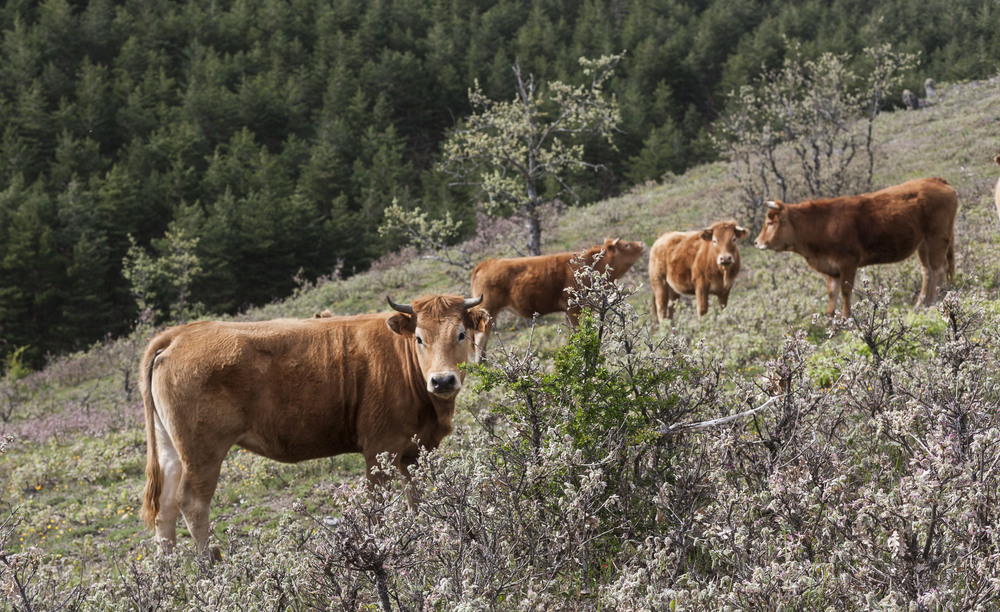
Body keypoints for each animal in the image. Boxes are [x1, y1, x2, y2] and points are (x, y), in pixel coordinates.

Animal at [139, 292, 490, 556]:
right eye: (419, 338)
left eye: (460, 334)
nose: (442, 380)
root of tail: (179, 334)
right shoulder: (381, 448)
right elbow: (378, 505)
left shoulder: (416, 449)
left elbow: (416, 497)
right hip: (203, 451)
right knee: (192, 503)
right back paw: (210, 568)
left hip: (171, 449)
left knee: (165, 507)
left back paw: (170, 574)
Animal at [466, 238, 644, 364]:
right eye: (626, 245)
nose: (642, 244)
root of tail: (487, 263)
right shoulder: (575, 307)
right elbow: (577, 330)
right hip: (488, 309)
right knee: (481, 335)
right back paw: (480, 362)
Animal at [752, 177, 956, 318]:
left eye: (770, 222)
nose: (756, 242)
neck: (823, 224)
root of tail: (937, 180)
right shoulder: (831, 267)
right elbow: (832, 293)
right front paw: (830, 320)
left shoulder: (848, 262)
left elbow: (845, 291)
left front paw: (845, 318)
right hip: (923, 243)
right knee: (927, 271)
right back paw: (920, 304)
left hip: (937, 237)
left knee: (938, 269)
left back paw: (932, 302)